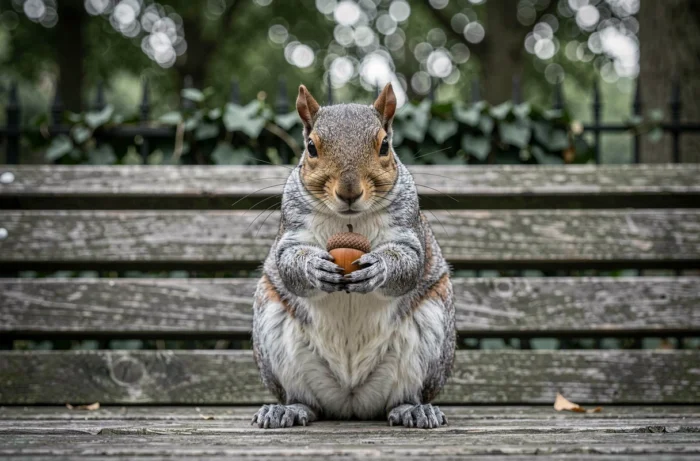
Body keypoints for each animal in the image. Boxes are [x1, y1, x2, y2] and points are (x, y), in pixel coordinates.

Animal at [251, 83, 455, 429]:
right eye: (311, 147)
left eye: (385, 145)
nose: (349, 192)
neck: (350, 220)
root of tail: (351, 401)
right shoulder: (292, 229)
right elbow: (288, 261)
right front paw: (313, 268)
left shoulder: (408, 228)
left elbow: (410, 261)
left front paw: (379, 269)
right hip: (273, 331)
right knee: (305, 400)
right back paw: (288, 410)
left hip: (431, 332)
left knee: (405, 395)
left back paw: (413, 409)